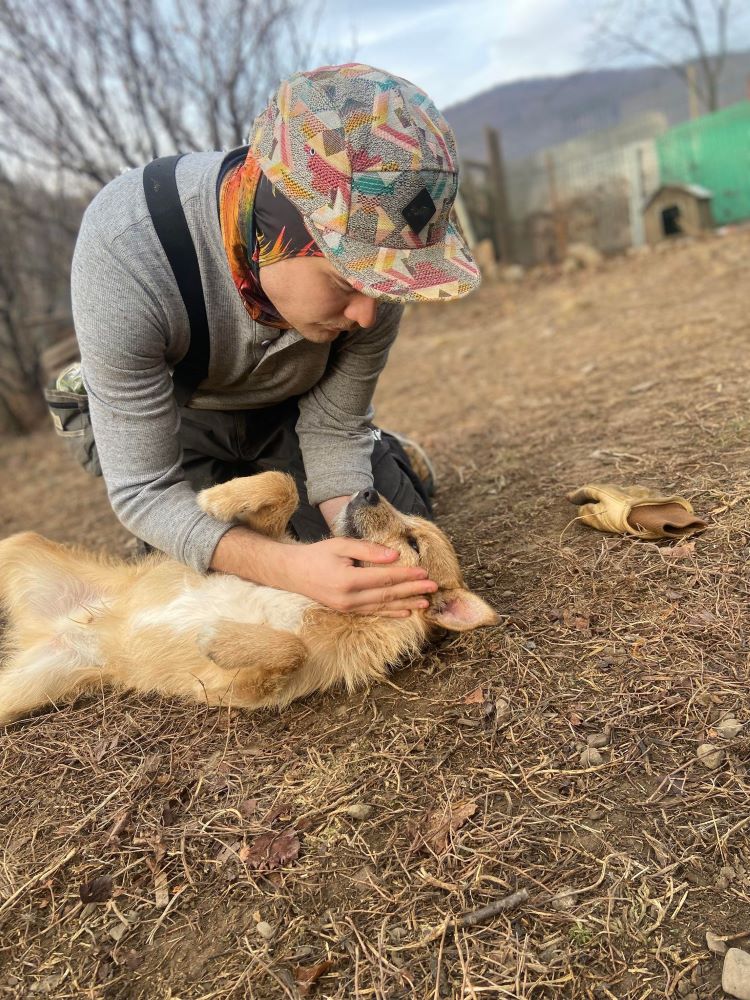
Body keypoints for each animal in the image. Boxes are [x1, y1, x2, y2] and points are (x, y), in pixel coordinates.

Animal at [0, 472, 500, 724]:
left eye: (413, 542)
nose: (367, 490)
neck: (317, 602)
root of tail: (56, 627)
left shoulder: (247, 691)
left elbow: (291, 647)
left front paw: (219, 637)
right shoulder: (271, 544)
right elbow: (283, 485)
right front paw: (218, 498)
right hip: (18, 543)